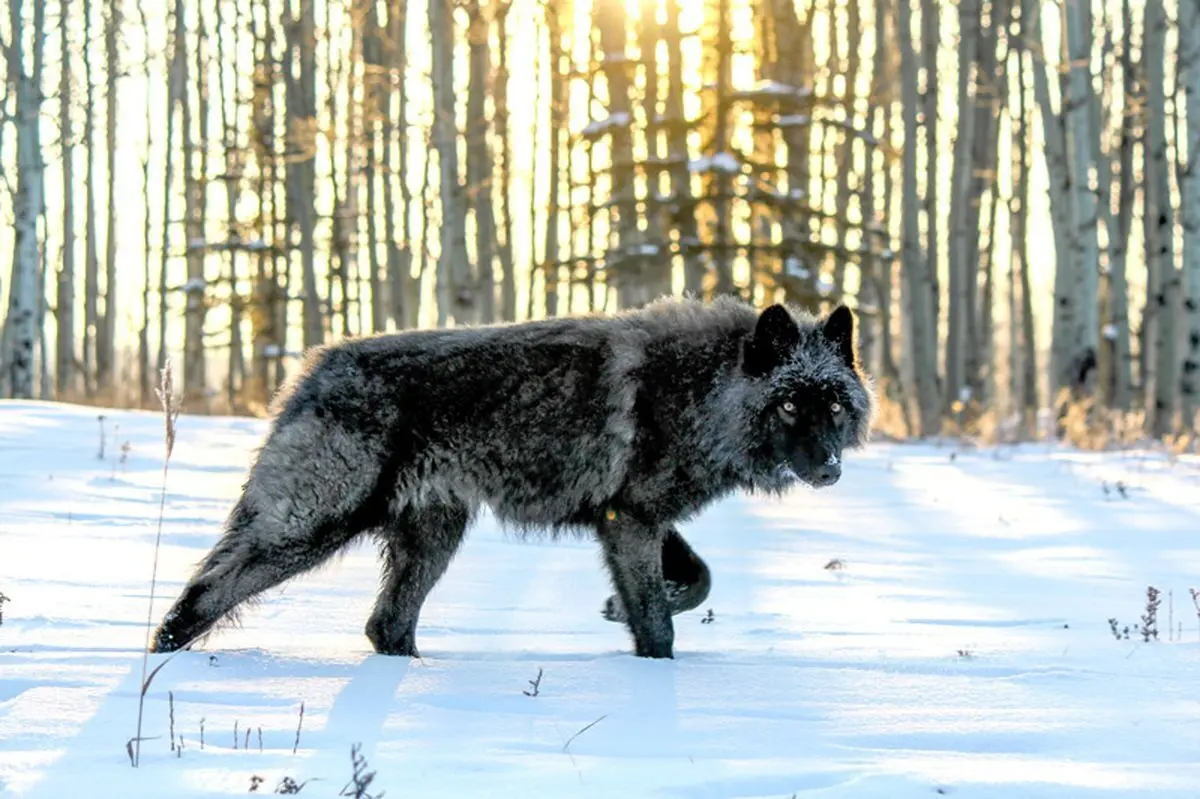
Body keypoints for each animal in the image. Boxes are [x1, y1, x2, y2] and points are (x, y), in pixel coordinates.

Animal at [154, 295, 878, 657]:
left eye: (835, 405)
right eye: (791, 404)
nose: (829, 469)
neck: (702, 389)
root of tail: (317, 365)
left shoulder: (633, 518)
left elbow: (698, 579)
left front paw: (617, 609)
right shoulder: (631, 522)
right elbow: (659, 622)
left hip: (433, 539)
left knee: (385, 625)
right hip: (309, 527)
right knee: (207, 592)